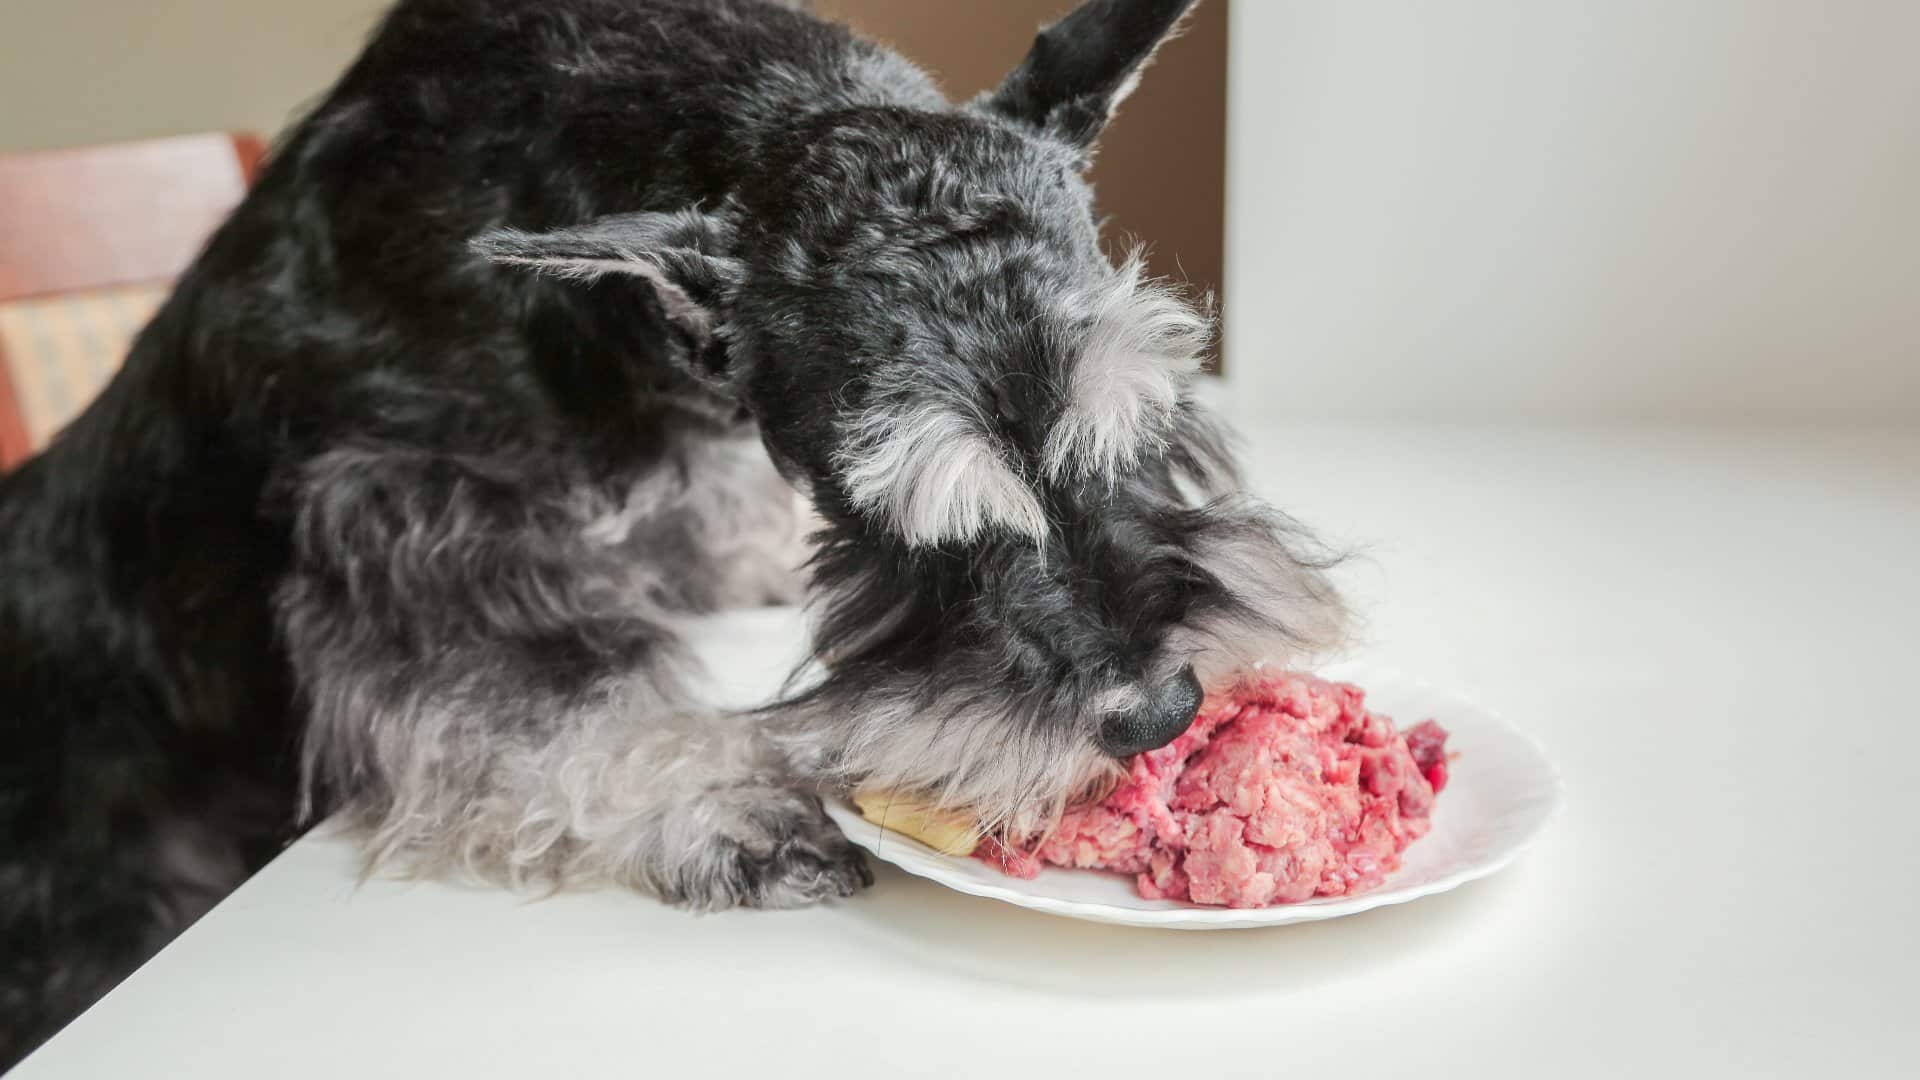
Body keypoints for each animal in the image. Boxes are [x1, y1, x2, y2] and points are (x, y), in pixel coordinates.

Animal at [0, 0, 1344, 1060]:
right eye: (896, 520)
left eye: (1149, 417)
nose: (1159, 711)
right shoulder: (420, 528)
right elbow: (558, 692)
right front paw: (728, 806)